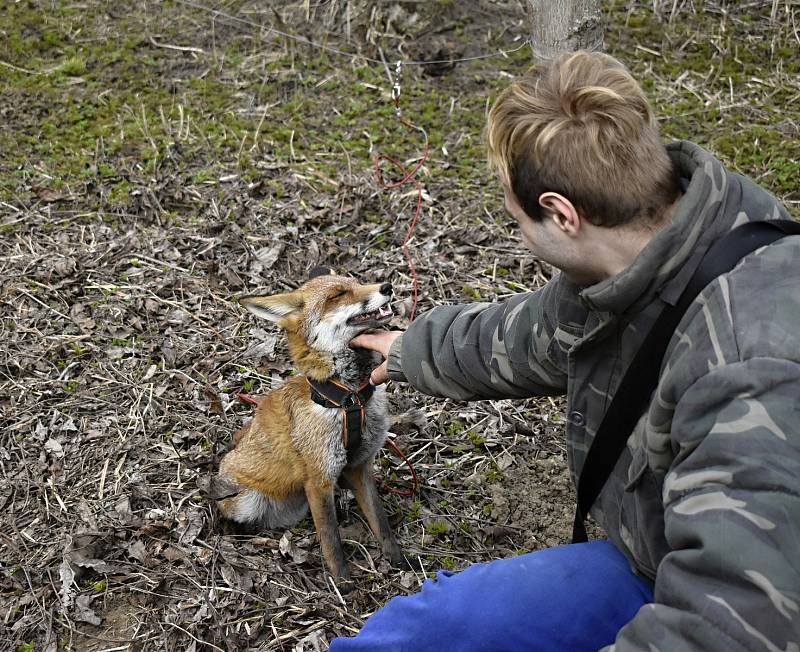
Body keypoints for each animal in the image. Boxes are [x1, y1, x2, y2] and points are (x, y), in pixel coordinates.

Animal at [216, 268, 406, 584]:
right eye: (337, 295)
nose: (387, 286)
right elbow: (331, 542)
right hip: (247, 501)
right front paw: (345, 585)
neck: (350, 401)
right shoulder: (319, 480)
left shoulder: (359, 467)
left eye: (357, 282)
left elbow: (381, 524)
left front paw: (400, 561)